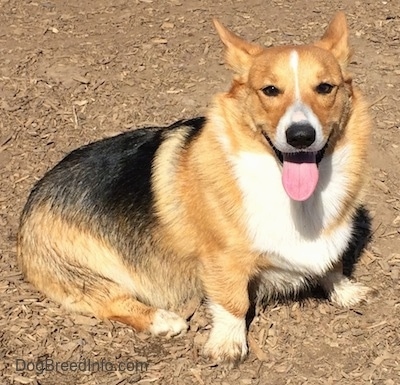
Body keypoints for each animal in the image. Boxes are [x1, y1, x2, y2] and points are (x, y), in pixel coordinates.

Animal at [17, 12, 370, 364]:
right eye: (270, 90)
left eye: (325, 88)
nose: (300, 136)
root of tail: (34, 196)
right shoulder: (222, 259)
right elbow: (233, 302)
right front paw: (227, 345)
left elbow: (334, 265)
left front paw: (346, 290)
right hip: (83, 272)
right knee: (109, 300)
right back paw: (163, 320)